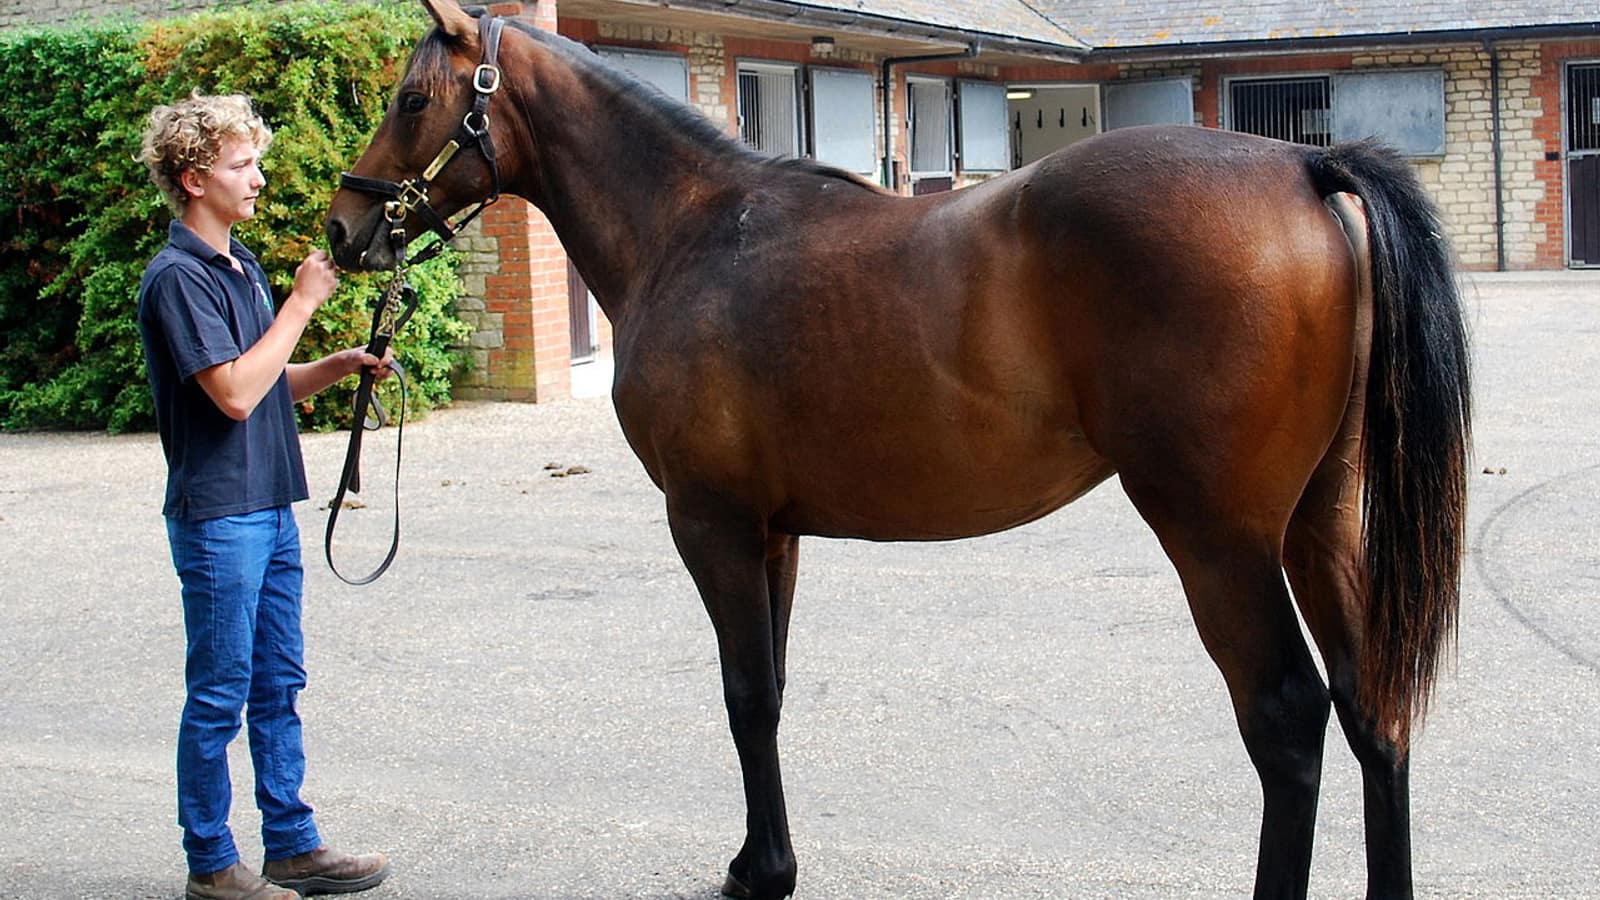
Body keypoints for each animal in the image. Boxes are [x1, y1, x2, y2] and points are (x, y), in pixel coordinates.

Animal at [325, 1, 1471, 896]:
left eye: (412, 100)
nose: (342, 230)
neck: (692, 234)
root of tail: (1307, 164)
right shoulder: (772, 533)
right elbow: (770, 692)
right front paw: (757, 859)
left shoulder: (709, 523)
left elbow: (743, 696)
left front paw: (764, 874)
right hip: (1319, 519)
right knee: (1373, 706)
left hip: (1218, 539)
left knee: (1286, 720)